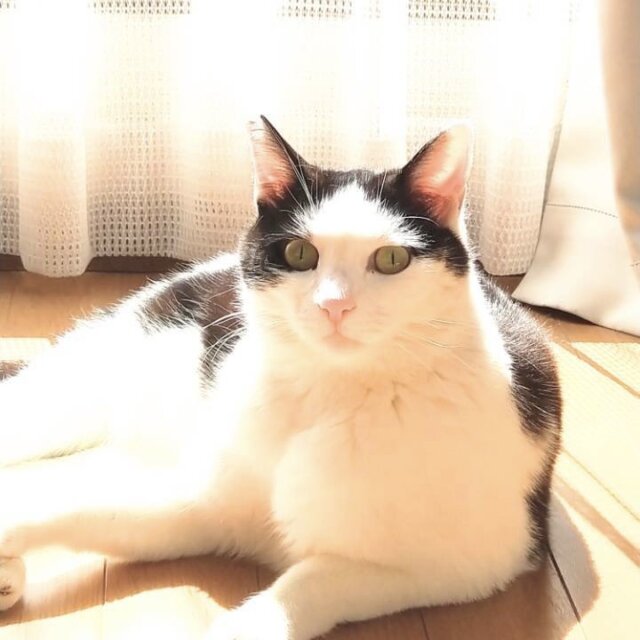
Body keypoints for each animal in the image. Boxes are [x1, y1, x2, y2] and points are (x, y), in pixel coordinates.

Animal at [0, 117, 561, 640]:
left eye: (391, 259)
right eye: (298, 254)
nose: (334, 305)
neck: (324, 394)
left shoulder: (455, 564)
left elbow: (300, 589)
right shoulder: (205, 502)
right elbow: (81, 510)